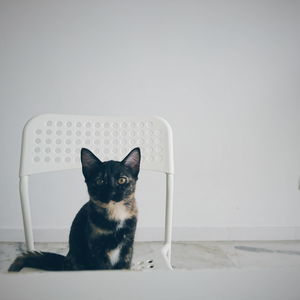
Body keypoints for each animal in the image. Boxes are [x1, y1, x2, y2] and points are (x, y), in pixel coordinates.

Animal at [8, 148, 141, 272]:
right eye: (100, 181)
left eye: (122, 180)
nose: (112, 192)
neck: (116, 213)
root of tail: (65, 261)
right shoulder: (96, 250)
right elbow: (103, 268)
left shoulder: (128, 246)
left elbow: (124, 266)